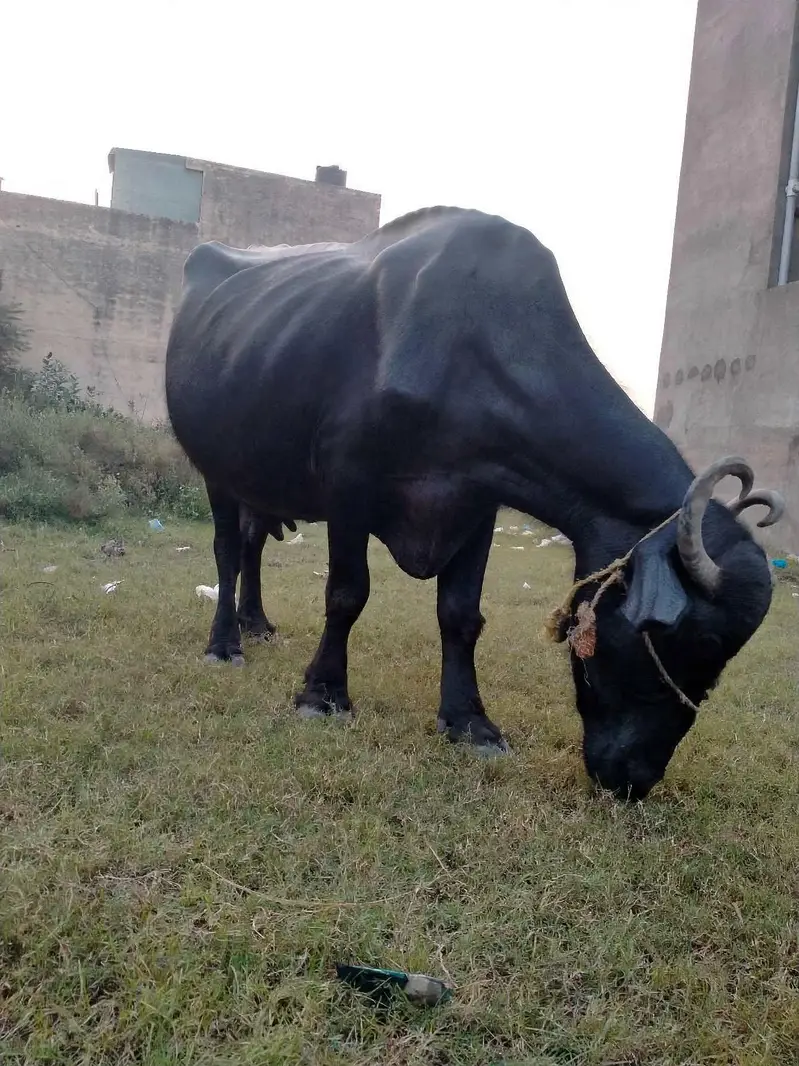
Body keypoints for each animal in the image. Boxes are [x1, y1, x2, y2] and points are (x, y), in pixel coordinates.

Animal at [165, 206, 784, 800]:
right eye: (695, 640)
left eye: (725, 656)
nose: (635, 781)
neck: (467, 353)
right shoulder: (347, 487)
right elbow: (346, 593)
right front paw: (323, 693)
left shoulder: (477, 504)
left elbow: (461, 615)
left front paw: (469, 722)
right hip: (216, 471)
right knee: (228, 551)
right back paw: (225, 642)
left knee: (251, 547)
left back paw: (256, 624)